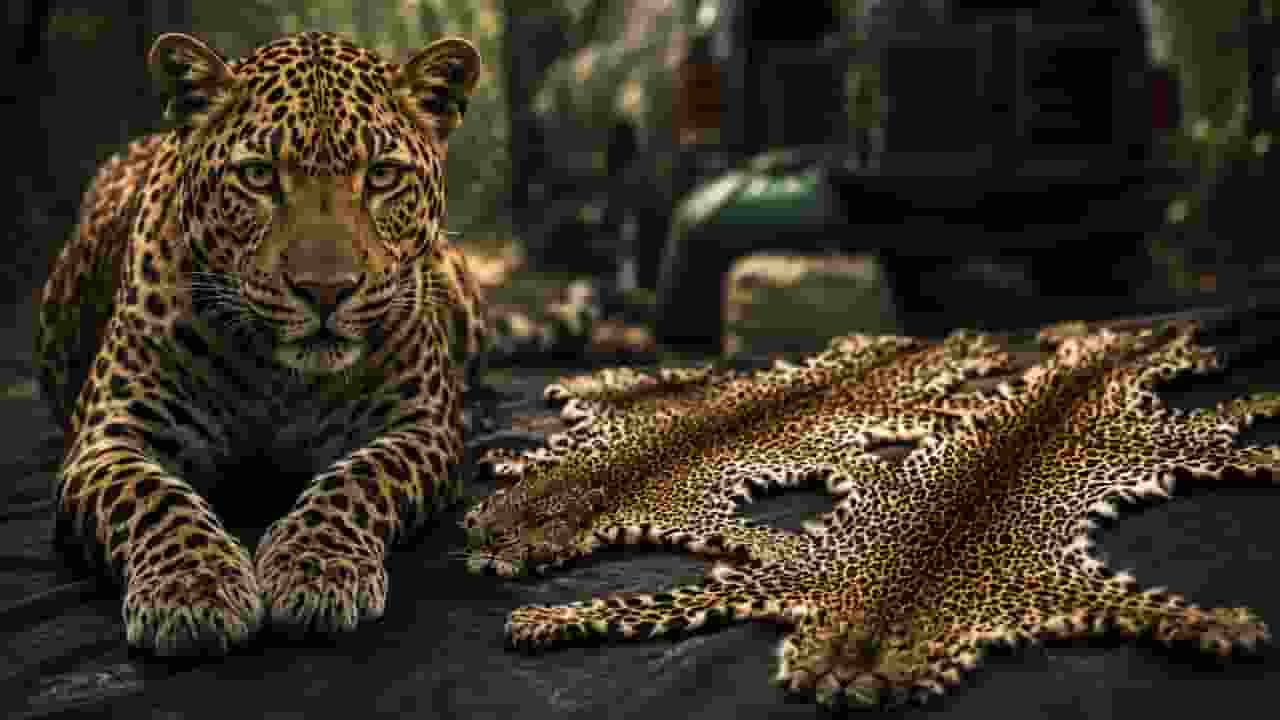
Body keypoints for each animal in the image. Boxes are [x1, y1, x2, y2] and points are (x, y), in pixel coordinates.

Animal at [34, 30, 491, 656]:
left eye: (381, 176)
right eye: (257, 176)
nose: (325, 290)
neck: (280, 379)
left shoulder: (421, 425)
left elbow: (360, 478)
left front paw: (314, 567)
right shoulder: (108, 440)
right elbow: (155, 500)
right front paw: (193, 588)